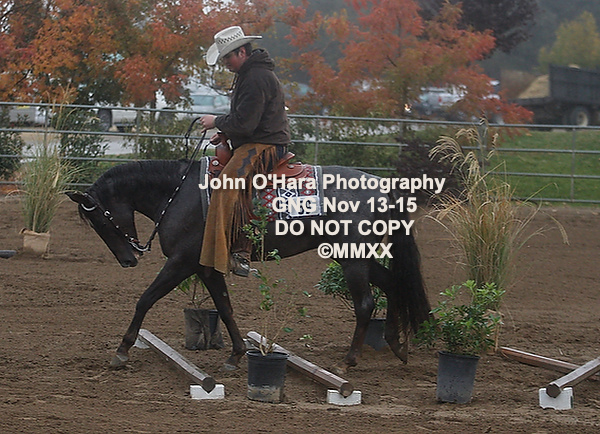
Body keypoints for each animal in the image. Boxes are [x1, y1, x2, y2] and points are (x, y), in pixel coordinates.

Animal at [67, 159, 431, 372]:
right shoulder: (205, 267)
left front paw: (122, 351)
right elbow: (225, 308)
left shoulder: (181, 262)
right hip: (357, 256)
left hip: (353, 258)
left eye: (100, 220)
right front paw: (236, 354)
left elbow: (145, 299)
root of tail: (383, 186)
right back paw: (397, 346)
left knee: (366, 303)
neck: (179, 193)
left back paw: (350, 360)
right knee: (392, 285)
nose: (128, 259)